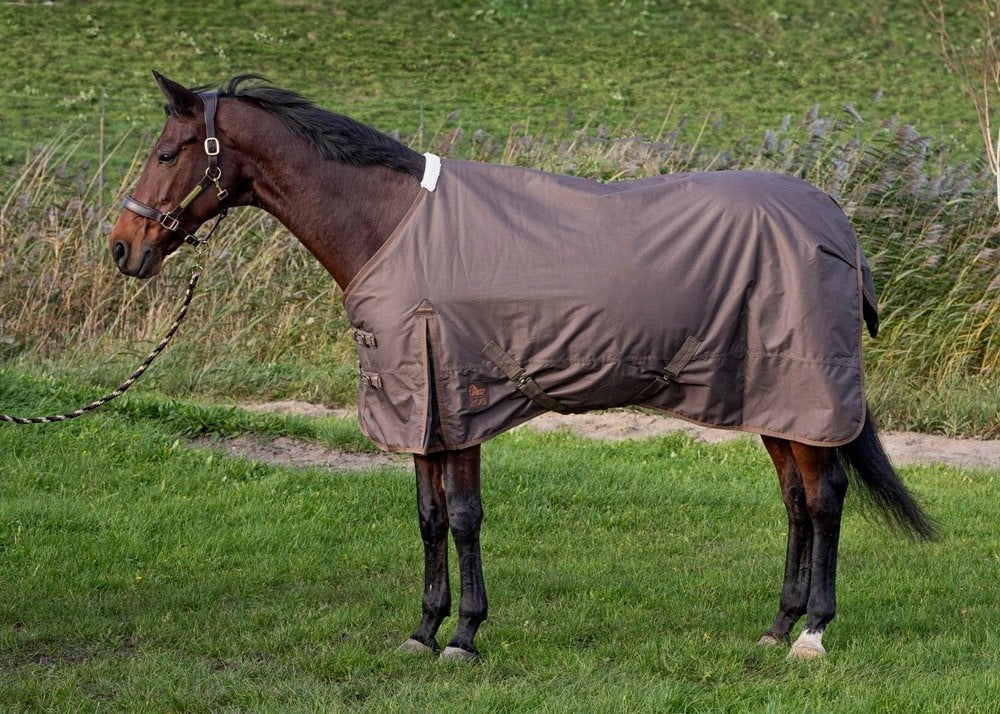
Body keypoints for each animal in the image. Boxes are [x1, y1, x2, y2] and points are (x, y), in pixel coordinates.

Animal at [109, 72, 936, 662]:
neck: (392, 227)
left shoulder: (458, 396)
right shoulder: (421, 409)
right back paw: (776, 626)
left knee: (825, 498)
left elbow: (464, 517)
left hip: (807, 392)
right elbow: (428, 517)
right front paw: (422, 630)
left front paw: (465, 638)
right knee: (796, 501)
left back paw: (813, 634)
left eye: (165, 153)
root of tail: (835, 222)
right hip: (772, 399)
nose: (124, 248)